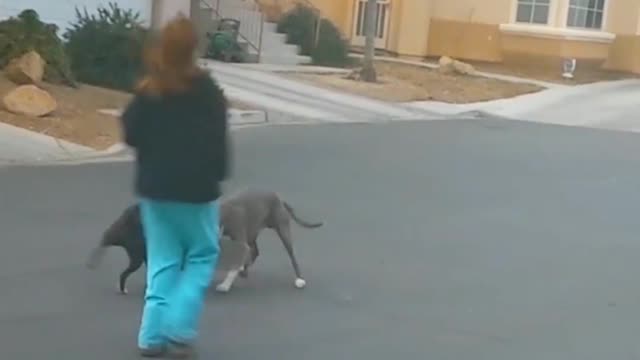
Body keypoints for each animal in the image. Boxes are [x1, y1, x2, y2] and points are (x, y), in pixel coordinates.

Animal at [87, 188, 322, 292]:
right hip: (253, 232)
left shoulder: (236, 239)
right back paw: (245, 270)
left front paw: (225, 283)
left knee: (290, 256)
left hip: (281, 229)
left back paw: (298, 278)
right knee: (255, 251)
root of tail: (278, 196)